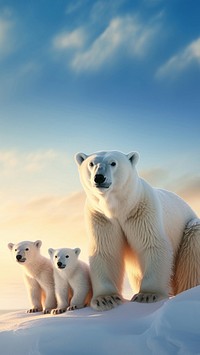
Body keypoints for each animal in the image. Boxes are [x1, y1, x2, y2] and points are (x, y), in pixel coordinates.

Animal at [74, 151, 200, 312]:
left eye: (113, 163)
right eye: (91, 163)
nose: (99, 177)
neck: (119, 207)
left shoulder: (141, 210)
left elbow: (151, 244)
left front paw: (147, 295)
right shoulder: (101, 217)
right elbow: (105, 250)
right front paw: (106, 299)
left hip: (189, 231)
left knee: (192, 244)